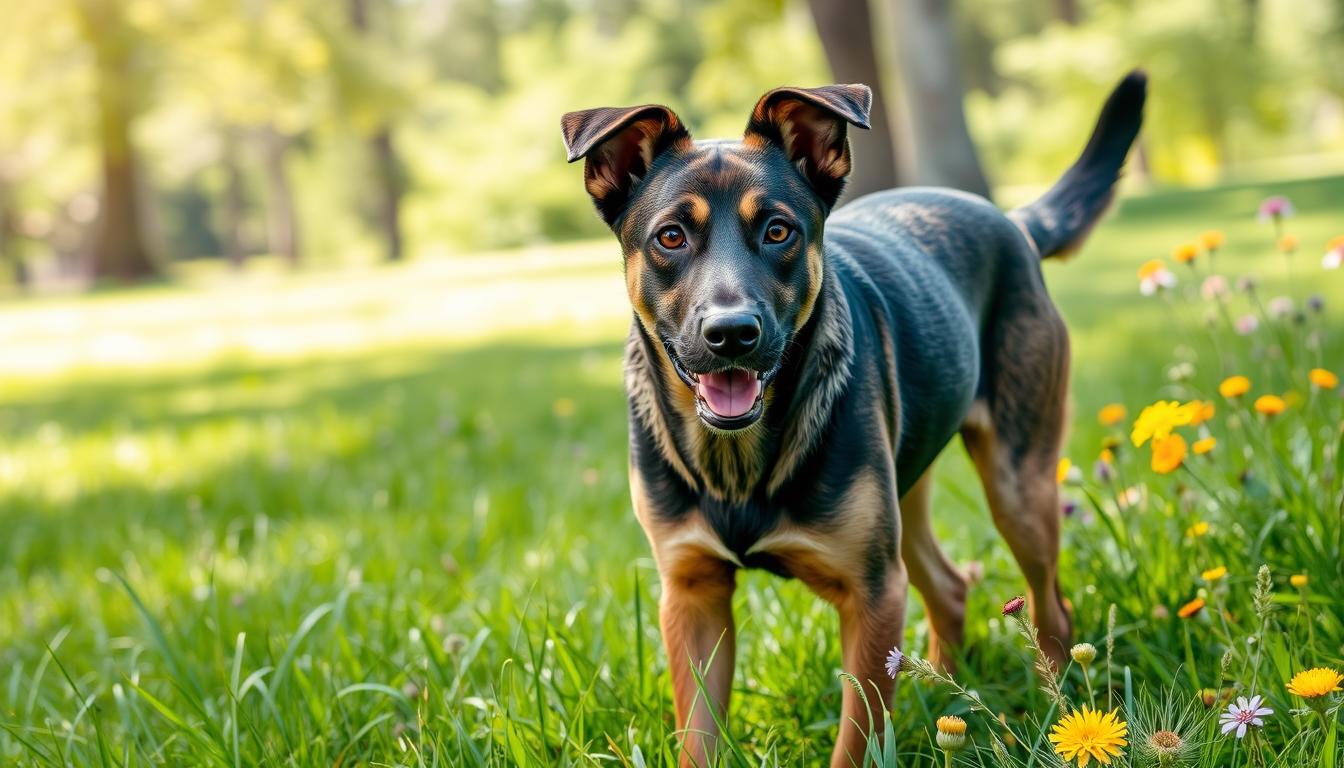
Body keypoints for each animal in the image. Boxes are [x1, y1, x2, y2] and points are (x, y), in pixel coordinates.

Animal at [564, 69, 1145, 763]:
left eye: (779, 231)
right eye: (670, 237)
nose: (731, 334)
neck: (736, 460)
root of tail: (1010, 221)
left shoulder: (872, 594)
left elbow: (857, 739)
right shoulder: (692, 595)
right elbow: (698, 738)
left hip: (1017, 487)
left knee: (1050, 607)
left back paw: (1059, 713)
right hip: (905, 489)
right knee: (949, 588)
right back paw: (946, 703)